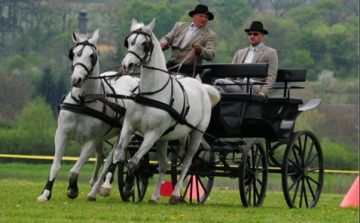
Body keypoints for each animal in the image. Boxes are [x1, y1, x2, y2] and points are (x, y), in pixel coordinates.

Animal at [36, 28, 138, 201]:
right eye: (73, 53)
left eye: (92, 55)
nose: (76, 79)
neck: (82, 102)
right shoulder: (61, 134)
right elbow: (55, 166)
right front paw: (45, 193)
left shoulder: (90, 141)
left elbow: (74, 171)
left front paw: (72, 189)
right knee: (102, 156)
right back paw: (94, 186)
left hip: (124, 133)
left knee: (113, 159)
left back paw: (103, 188)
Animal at [86, 19, 219, 204]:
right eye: (129, 41)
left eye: (144, 43)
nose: (127, 65)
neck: (150, 94)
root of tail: (202, 86)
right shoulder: (129, 127)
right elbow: (119, 156)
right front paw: (116, 187)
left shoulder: (152, 134)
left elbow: (133, 161)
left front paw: (128, 187)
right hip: (165, 138)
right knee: (163, 165)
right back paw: (155, 197)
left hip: (196, 134)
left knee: (188, 163)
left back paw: (175, 195)